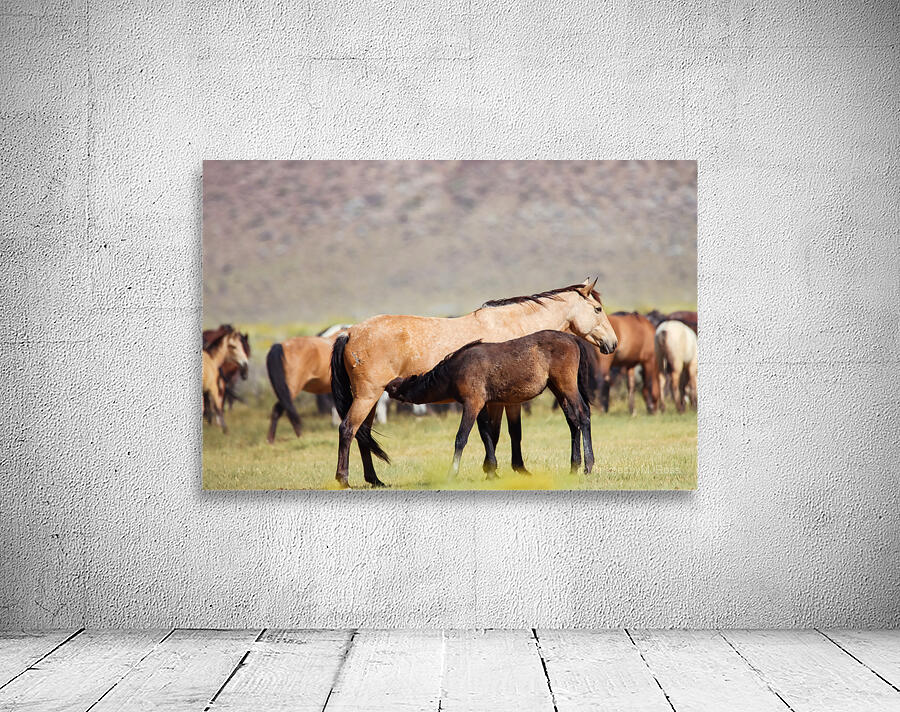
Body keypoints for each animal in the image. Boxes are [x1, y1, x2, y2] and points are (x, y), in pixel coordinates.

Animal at [386, 331, 597, 476]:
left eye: (399, 385)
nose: (387, 385)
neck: (456, 369)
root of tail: (573, 338)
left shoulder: (472, 404)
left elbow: (461, 438)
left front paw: (453, 472)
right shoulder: (482, 406)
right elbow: (487, 435)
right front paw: (491, 471)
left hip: (567, 386)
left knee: (583, 415)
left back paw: (588, 465)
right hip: (558, 389)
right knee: (573, 422)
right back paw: (574, 466)